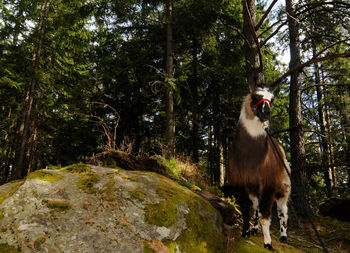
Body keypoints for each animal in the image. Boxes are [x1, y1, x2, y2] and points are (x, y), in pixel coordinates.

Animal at [226, 83, 292, 251]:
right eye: (255, 97)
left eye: (272, 99)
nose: (266, 112)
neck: (250, 159)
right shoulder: (240, 183)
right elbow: (245, 210)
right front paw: (245, 233)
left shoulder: (269, 184)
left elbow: (266, 215)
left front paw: (268, 243)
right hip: (255, 188)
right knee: (255, 206)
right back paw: (255, 229)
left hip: (284, 186)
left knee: (282, 211)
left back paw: (283, 236)